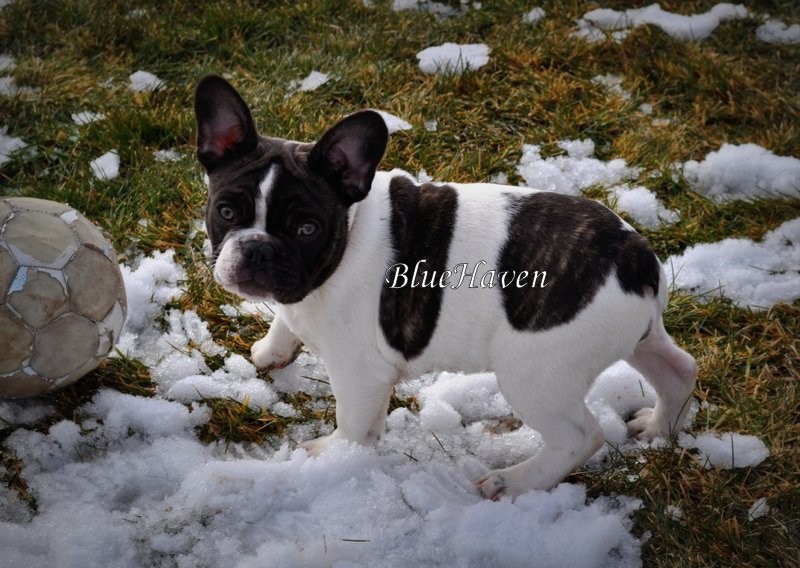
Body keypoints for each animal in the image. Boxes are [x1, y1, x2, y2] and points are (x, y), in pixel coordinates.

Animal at [194, 75, 697, 500]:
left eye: (306, 229)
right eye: (226, 212)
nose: (257, 250)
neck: (348, 233)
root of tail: (633, 254)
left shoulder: (360, 370)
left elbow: (354, 423)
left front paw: (334, 455)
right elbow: (285, 321)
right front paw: (272, 349)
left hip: (536, 371)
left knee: (580, 436)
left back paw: (513, 483)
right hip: (634, 338)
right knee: (679, 369)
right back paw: (658, 428)